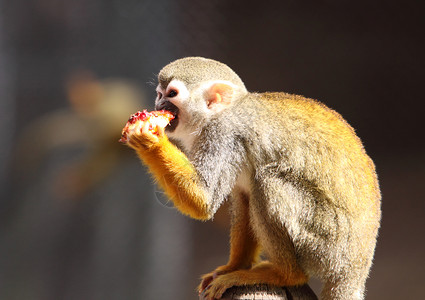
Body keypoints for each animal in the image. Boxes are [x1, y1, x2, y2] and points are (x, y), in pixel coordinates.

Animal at [124, 57, 380, 298]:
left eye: (172, 94)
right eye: (159, 94)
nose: (158, 104)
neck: (220, 114)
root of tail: (355, 269)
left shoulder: (224, 135)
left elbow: (204, 201)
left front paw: (148, 138)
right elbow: (241, 197)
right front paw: (234, 266)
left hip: (327, 241)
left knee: (267, 181)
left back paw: (285, 274)